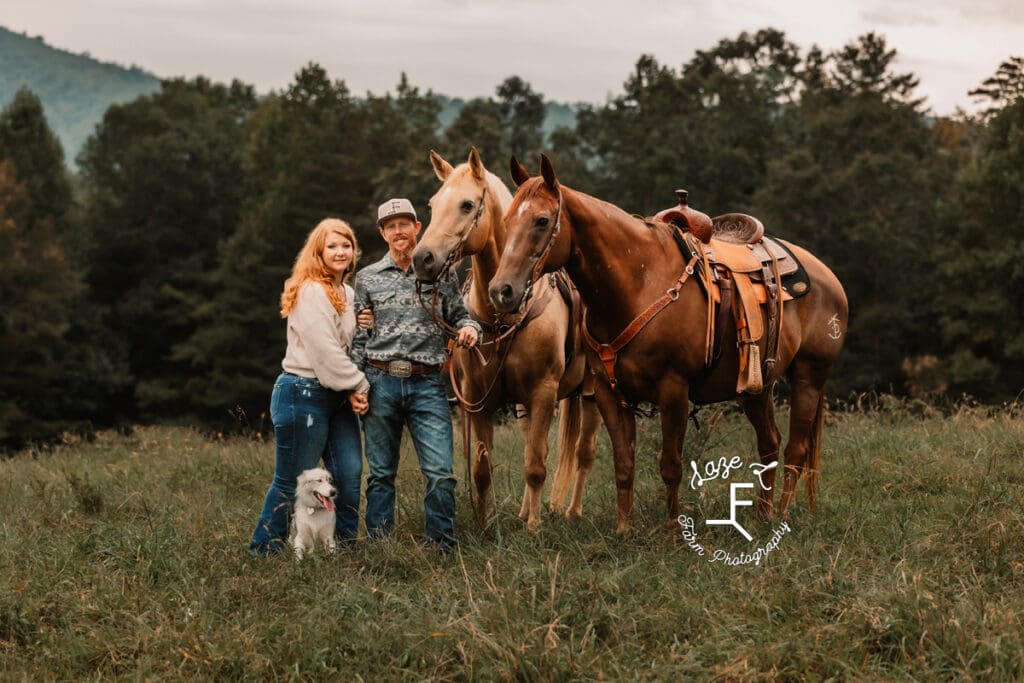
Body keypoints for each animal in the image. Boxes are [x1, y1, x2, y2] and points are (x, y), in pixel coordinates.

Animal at [409, 148, 598, 532]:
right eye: (433, 204)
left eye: (467, 204)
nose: (422, 259)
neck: (503, 317)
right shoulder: (477, 399)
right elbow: (483, 470)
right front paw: (485, 526)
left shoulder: (543, 394)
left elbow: (536, 466)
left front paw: (535, 528)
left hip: (593, 395)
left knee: (583, 453)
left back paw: (572, 512)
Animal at [487, 157, 847, 536]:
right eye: (507, 220)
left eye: (542, 220)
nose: (502, 290)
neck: (638, 283)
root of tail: (826, 275)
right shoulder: (608, 393)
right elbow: (623, 463)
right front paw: (624, 530)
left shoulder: (673, 391)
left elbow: (671, 465)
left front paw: (674, 531)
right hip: (757, 387)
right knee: (770, 444)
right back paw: (763, 515)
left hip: (809, 376)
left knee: (795, 450)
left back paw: (783, 514)